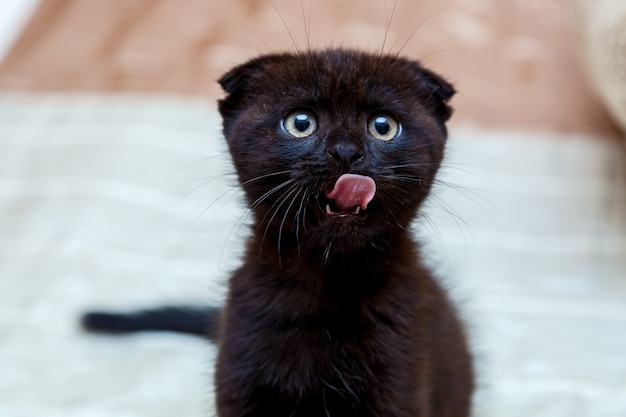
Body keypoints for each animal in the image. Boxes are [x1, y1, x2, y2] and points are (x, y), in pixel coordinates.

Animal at [84, 49, 472, 416]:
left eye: (383, 126)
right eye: (301, 123)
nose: (346, 152)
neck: (326, 277)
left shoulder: (401, 383)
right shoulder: (240, 377)